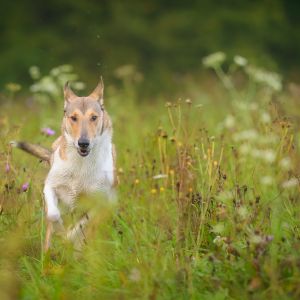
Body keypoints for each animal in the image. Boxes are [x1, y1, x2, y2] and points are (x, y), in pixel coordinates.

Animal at [11, 79, 117, 251]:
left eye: (94, 117)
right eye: (73, 117)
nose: (83, 143)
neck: (81, 163)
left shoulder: (102, 201)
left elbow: (81, 225)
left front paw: (68, 238)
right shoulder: (50, 187)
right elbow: (53, 215)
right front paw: (60, 231)